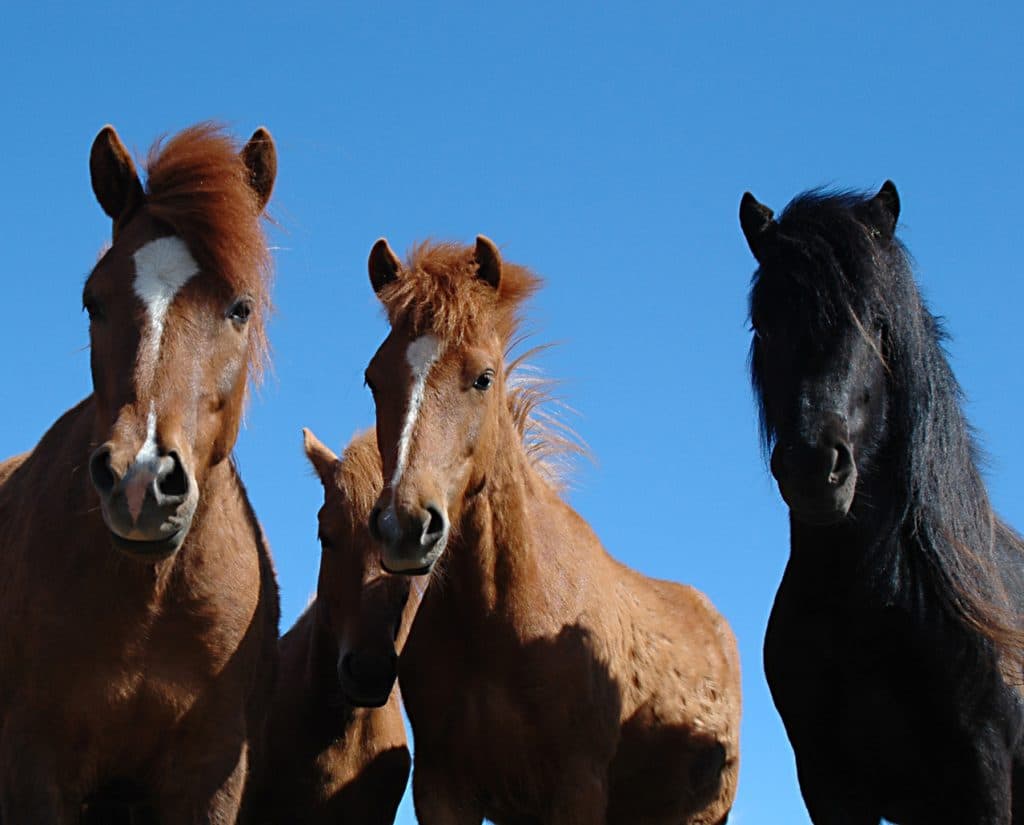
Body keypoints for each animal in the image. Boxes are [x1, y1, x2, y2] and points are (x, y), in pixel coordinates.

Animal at [0, 123, 280, 822]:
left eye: (240, 307)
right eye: (92, 302)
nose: (140, 482)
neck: (149, 602)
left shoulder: (210, 775)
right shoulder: (33, 762)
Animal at [361, 236, 741, 825]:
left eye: (483, 377)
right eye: (374, 379)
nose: (404, 525)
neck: (502, 615)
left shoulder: (577, 788)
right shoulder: (442, 789)